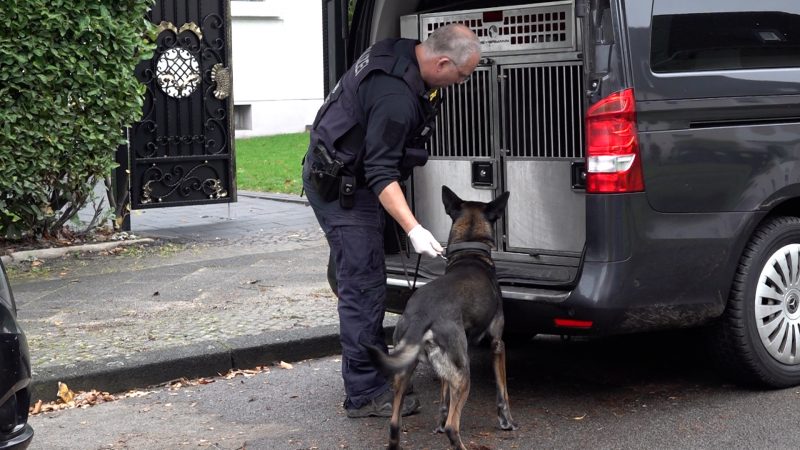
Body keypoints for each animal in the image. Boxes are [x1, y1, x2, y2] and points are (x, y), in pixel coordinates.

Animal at [366, 185, 516, 450]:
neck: (470, 253)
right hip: (464, 373)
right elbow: (503, 391)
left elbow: (444, 399)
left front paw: (438, 420)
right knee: (452, 428)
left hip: (406, 371)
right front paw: (506, 421)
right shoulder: (498, 344)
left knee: (394, 424)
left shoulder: (446, 371)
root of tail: (421, 317)